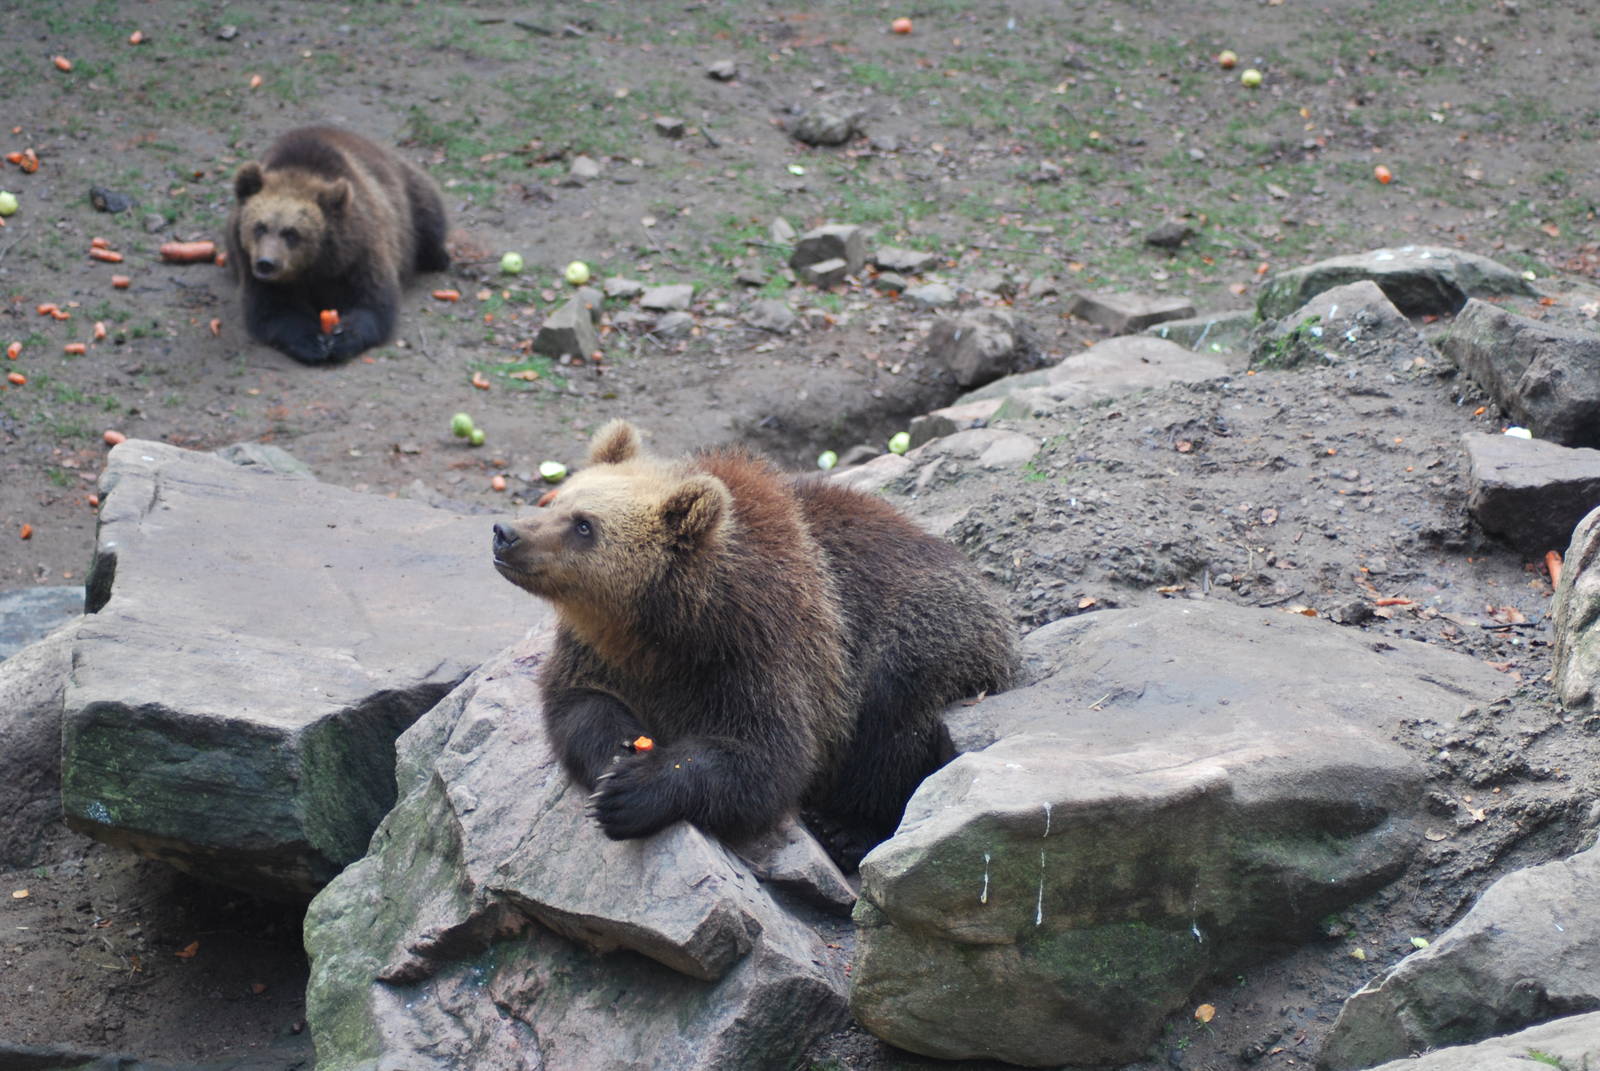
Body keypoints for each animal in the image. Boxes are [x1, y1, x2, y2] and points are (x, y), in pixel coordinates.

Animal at [225, 126, 449, 365]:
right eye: (259, 227)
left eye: (291, 233)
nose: (266, 264)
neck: (315, 265)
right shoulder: (249, 263)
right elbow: (272, 308)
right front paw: (312, 342)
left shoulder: (359, 249)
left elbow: (372, 300)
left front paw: (343, 338)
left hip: (407, 198)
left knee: (429, 215)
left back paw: (439, 257)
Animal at [491, 420, 1020, 856]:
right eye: (558, 498)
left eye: (585, 525)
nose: (505, 532)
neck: (663, 623)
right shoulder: (596, 648)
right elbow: (576, 703)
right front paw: (617, 755)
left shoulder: (759, 646)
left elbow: (768, 755)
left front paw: (633, 791)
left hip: (924, 639)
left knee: (893, 725)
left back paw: (847, 829)